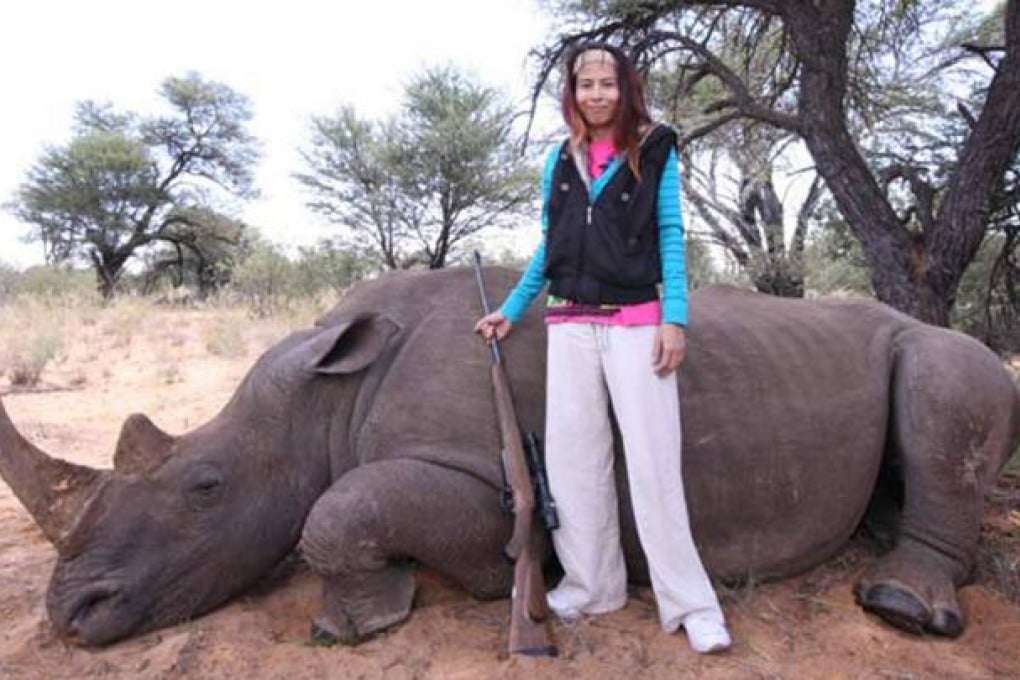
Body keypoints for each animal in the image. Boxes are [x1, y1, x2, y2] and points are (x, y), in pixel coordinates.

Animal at [1, 267, 1018, 647]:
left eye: (206, 487)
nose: (70, 617)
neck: (327, 396)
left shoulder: (484, 483)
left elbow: (341, 507)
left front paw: (356, 624)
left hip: (945, 348)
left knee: (948, 380)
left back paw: (900, 608)